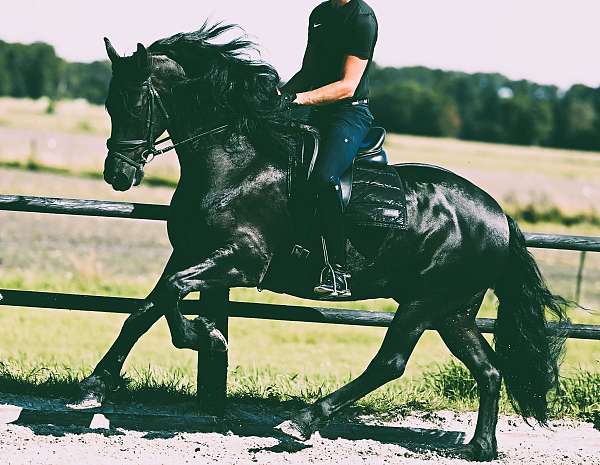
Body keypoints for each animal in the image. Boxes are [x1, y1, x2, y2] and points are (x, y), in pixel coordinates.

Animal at [77, 25, 568, 460]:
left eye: (137, 101)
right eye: (108, 102)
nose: (118, 175)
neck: (237, 165)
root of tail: (499, 216)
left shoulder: (243, 261)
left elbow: (174, 292)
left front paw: (207, 337)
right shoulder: (191, 252)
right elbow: (147, 307)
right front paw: (95, 386)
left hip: (424, 302)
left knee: (390, 363)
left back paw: (303, 422)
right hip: (452, 310)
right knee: (488, 370)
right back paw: (480, 448)